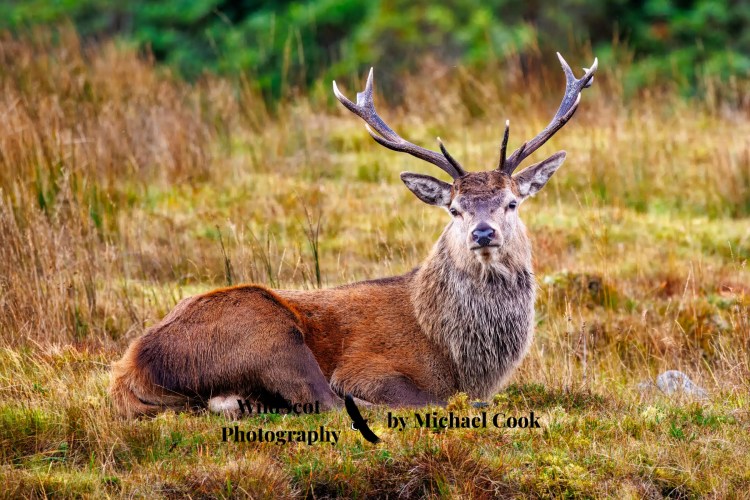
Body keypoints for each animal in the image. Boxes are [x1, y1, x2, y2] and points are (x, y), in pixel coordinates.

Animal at [110, 53, 597, 418]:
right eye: (454, 209)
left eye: (511, 203)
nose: (482, 233)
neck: (457, 356)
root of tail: (131, 368)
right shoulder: (369, 367)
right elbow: (423, 398)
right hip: (268, 331)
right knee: (325, 401)